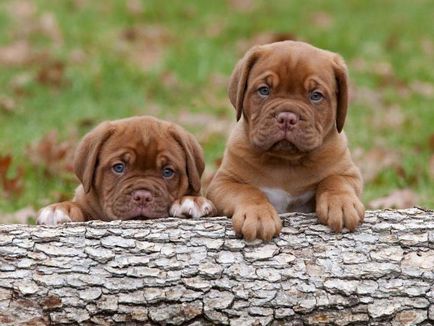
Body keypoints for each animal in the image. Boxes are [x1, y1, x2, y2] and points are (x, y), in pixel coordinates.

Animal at [209, 40, 364, 241]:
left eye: (315, 95)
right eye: (264, 90)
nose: (287, 118)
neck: (285, 161)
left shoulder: (349, 174)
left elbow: (335, 180)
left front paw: (342, 203)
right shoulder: (222, 183)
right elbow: (247, 191)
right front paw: (258, 215)